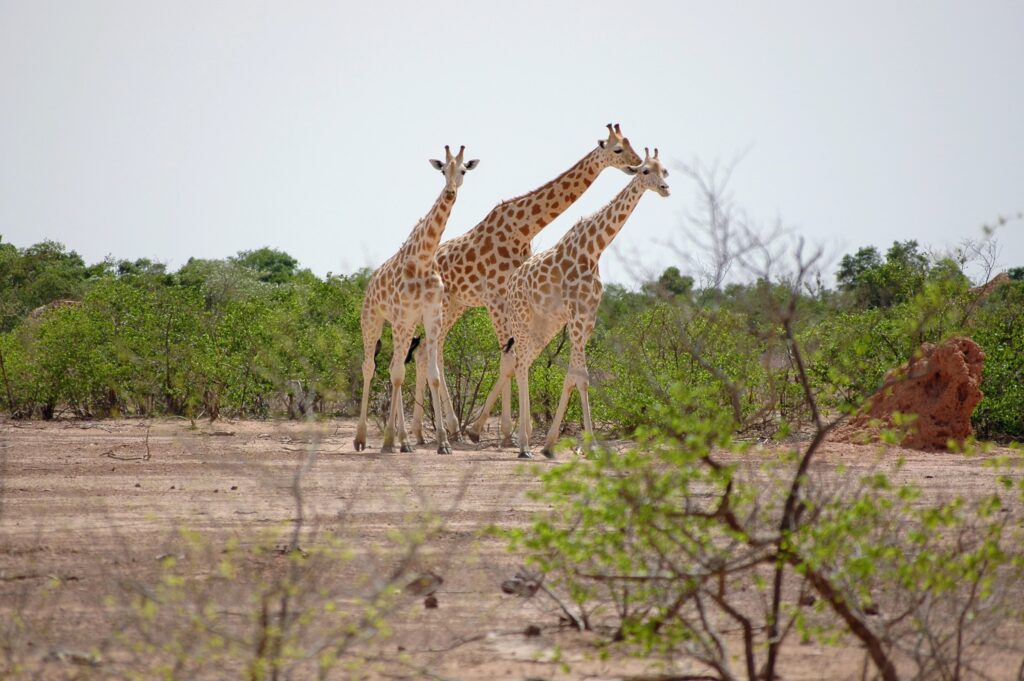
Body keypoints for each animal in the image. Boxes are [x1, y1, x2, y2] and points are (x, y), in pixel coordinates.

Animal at [352, 147, 479, 456]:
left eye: (463, 170)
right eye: (443, 169)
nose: (450, 191)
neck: (423, 257)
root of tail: (369, 283)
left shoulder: (431, 316)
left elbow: (432, 374)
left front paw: (443, 442)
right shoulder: (401, 315)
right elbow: (397, 375)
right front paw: (388, 442)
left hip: (407, 325)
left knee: (391, 366)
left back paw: (404, 441)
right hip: (372, 320)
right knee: (370, 368)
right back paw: (362, 438)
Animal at [409, 122, 638, 446]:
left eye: (631, 144)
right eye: (618, 149)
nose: (637, 164)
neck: (524, 227)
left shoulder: (509, 298)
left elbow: (515, 357)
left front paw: (506, 431)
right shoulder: (495, 297)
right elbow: (509, 359)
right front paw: (503, 432)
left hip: (456, 304)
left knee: (427, 351)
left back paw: (429, 431)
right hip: (445, 304)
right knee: (427, 351)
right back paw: (439, 429)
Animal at [477, 148, 671, 456]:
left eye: (665, 170)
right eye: (645, 171)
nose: (665, 189)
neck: (594, 250)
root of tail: (513, 281)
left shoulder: (588, 316)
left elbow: (573, 375)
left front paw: (551, 444)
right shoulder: (577, 315)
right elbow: (581, 376)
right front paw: (589, 446)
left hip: (546, 325)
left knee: (524, 361)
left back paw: (517, 436)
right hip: (521, 319)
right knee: (518, 363)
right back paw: (522, 444)